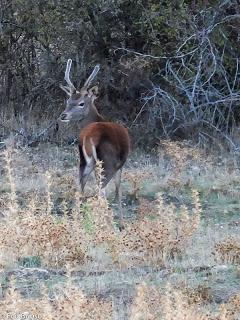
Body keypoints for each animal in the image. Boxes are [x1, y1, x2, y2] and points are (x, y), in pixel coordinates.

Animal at [59, 59, 130, 228]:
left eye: (80, 103)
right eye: (68, 100)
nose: (63, 115)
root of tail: (90, 137)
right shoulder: (120, 165)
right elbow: (119, 191)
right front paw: (122, 223)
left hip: (84, 161)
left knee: (80, 186)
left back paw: (78, 220)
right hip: (107, 163)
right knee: (101, 190)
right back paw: (107, 224)